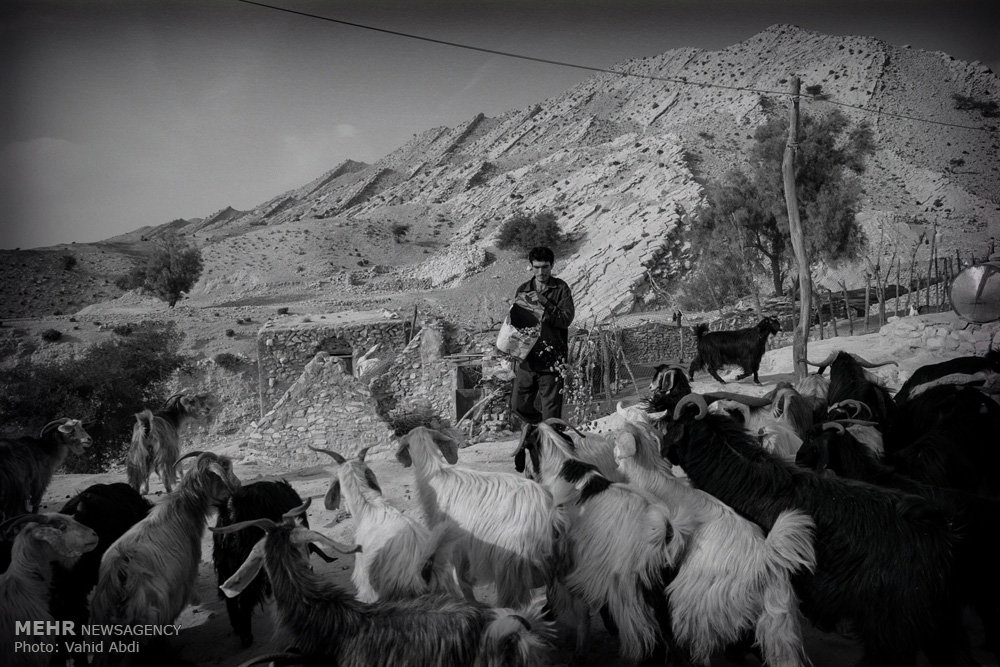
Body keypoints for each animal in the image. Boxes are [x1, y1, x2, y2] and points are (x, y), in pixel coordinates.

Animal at [90, 451, 240, 665]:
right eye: (224, 471)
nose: (238, 485)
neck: (183, 508)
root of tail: (119, 575)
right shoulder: (181, 584)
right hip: (148, 616)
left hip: (104, 627)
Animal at [213, 479, 309, 647]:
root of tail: (232, 508)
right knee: (244, 600)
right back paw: (246, 636)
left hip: (225, 565)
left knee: (230, 598)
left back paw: (237, 627)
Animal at [516, 420, 687, 664]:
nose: (527, 474)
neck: (561, 470)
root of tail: (666, 533)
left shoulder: (572, 563)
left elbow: (579, 610)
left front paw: (579, 650)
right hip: (660, 590)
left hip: (631, 591)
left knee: (647, 638)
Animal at [612, 419, 816, 666]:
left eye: (617, 438)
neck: (653, 479)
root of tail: (765, 558)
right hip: (778, 619)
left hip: (696, 602)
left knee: (700, 643)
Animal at [663, 393, 978, 667]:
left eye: (669, 425)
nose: (663, 451)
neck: (736, 473)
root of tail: (941, 535)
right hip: (940, 620)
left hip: (891, 626)